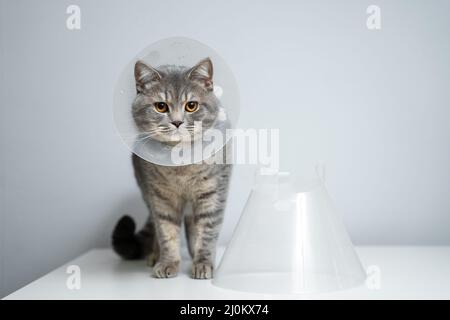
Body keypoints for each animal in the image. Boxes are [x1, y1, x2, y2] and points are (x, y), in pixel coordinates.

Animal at [112, 58, 232, 278]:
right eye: (161, 106)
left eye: (191, 106)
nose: (177, 122)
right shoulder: (161, 198)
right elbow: (166, 233)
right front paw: (168, 263)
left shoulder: (212, 193)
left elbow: (207, 231)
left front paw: (203, 263)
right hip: (147, 192)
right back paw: (154, 256)